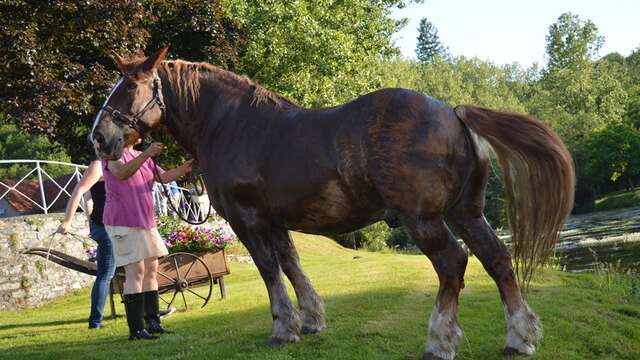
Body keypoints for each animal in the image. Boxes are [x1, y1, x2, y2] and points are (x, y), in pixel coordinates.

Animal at [91, 48, 576, 360]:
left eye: (127, 89)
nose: (99, 138)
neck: (232, 126)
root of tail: (453, 114)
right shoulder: (276, 221)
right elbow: (292, 266)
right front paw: (310, 321)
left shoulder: (249, 221)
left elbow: (270, 272)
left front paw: (282, 329)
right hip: (466, 213)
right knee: (497, 260)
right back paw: (520, 337)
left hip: (424, 219)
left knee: (453, 265)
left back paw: (439, 341)